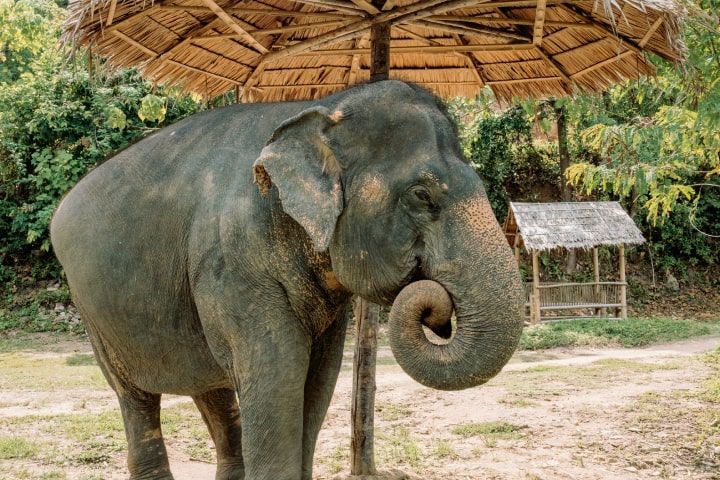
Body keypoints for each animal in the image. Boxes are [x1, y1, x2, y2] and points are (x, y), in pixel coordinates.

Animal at [50, 80, 524, 480]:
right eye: (422, 195)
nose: (438, 310)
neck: (324, 109)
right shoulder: (233, 266)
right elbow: (278, 374)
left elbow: (317, 380)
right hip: (93, 313)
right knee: (135, 397)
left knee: (213, 389)